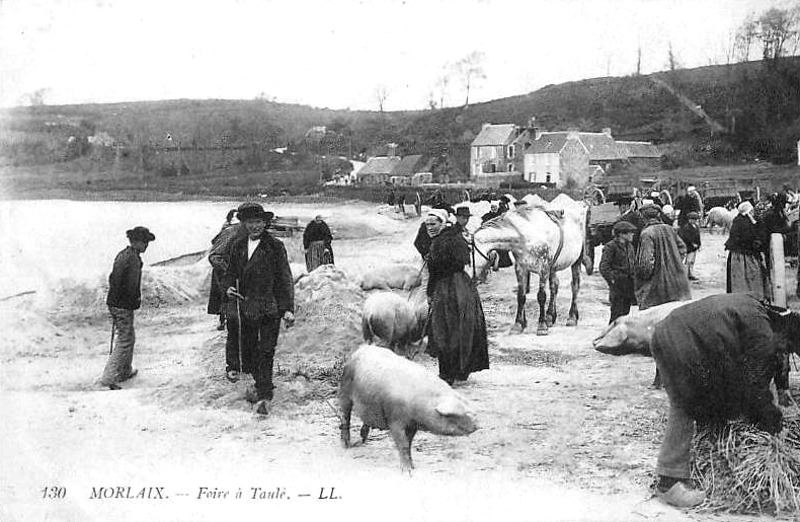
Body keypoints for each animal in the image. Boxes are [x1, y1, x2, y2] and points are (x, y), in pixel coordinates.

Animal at [336, 344, 476, 470]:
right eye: (451, 415)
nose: (477, 424)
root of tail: (361, 348)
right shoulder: (395, 419)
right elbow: (402, 443)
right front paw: (407, 471)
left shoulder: (412, 424)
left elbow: (409, 443)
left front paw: (413, 467)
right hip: (345, 389)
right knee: (345, 417)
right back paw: (346, 445)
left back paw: (363, 439)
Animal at [468, 194, 588, 334]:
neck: (525, 236)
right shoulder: (521, 268)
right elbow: (521, 296)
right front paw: (519, 324)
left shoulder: (544, 268)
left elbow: (541, 296)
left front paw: (541, 326)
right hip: (553, 267)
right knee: (554, 286)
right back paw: (550, 316)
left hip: (576, 261)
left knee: (575, 286)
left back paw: (572, 317)